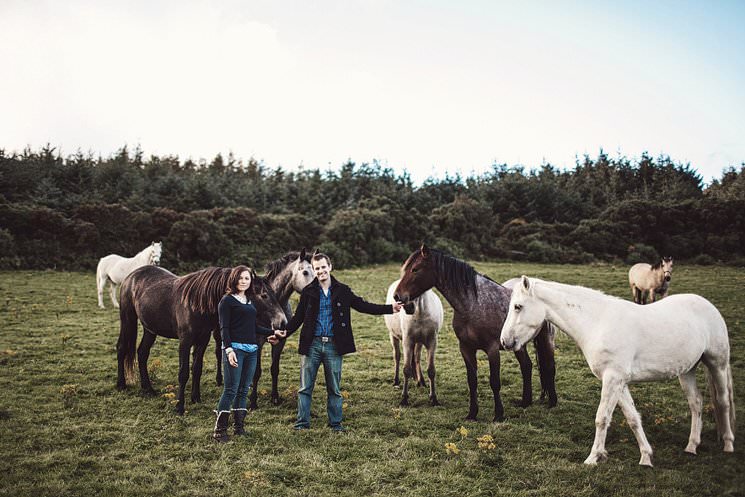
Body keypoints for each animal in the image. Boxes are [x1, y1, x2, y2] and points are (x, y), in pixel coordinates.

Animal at [117, 266, 286, 412]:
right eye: (264, 295)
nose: (282, 322)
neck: (197, 303)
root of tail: (132, 276)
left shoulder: (202, 340)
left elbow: (197, 369)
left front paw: (195, 398)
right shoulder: (185, 342)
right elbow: (183, 373)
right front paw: (180, 406)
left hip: (150, 329)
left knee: (142, 353)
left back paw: (148, 388)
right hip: (128, 320)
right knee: (121, 348)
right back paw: (121, 384)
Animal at [392, 246, 556, 420]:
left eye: (415, 269)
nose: (397, 296)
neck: (473, 304)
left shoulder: (492, 349)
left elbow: (495, 382)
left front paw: (498, 415)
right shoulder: (466, 348)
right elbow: (472, 381)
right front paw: (472, 413)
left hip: (547, 339)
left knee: (550, 367)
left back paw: (552, 402)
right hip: (519, 345)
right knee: (527, 366)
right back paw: (525, 402)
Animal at [500, 278, 732, 466]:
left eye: (518, 306)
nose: (505, 341)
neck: (597, 322)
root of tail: (708, 305)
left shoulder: (613, 379)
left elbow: (602, 418)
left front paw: (593, 458)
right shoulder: (618, 381)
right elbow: (632, 418)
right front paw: (646, 457)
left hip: (717, 364)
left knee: (722, 401)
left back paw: (728, 444)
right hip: (687, 371)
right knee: (696, 403)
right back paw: (691, 446)